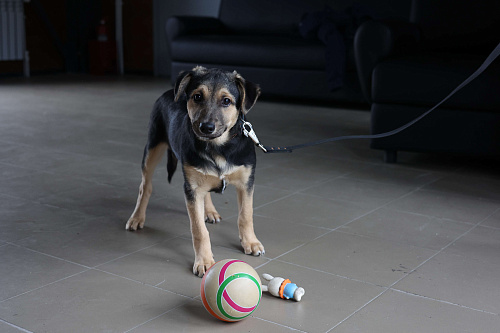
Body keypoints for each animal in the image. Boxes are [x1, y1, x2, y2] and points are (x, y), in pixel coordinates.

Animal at [125, 66, 266, 276]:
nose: (206, 127)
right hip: (153, 146)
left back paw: (210, 211)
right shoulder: (191, 188)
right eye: (197, 97)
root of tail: (170, 91)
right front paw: (204, 261)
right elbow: (199, 229)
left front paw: (251, 242)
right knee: (145, 186)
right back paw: (136, 217)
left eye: (226, 101)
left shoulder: (246, 182)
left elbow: (246, 215)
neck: (218, 147)